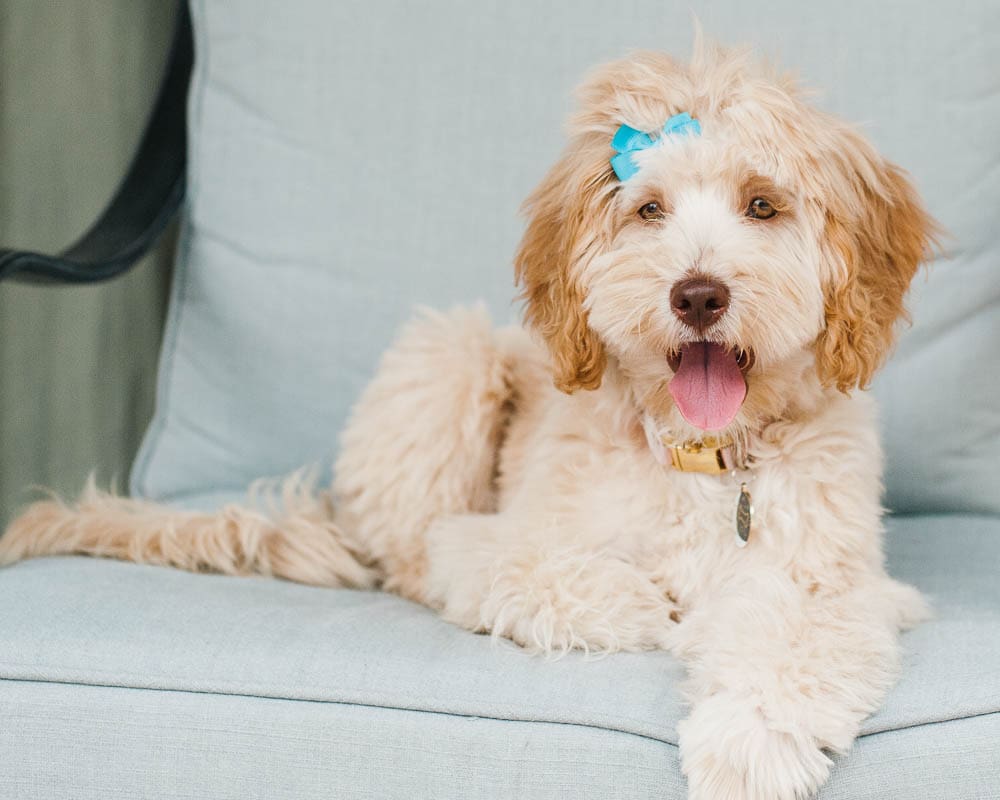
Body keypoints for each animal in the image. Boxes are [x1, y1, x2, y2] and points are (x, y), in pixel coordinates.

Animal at [0, 42, 936, 800]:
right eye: (649, 210)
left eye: (762, 205)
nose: (698, 294)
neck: (700, 455)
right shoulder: (496, 539)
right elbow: (547, 575)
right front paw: (646, 606)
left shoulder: (836, 583)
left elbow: (791, 638)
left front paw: (749, 746)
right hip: (449, 353)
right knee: (409, 558)